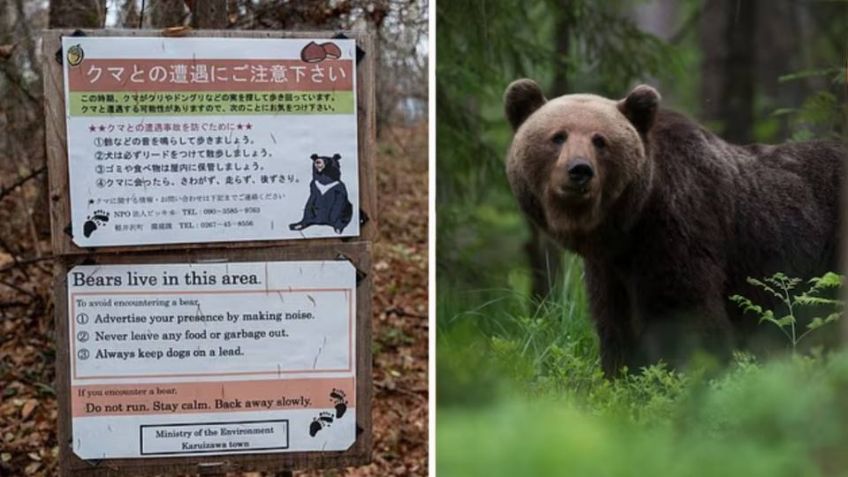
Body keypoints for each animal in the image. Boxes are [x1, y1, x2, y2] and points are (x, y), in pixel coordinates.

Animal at [504, 79, 846, 377]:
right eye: (558, 136)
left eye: (600, 140)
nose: (580, 170)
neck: (629, 224)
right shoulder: (610, 268)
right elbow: (614, 321)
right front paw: (620, 375)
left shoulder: (678, 226)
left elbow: (683, 311)